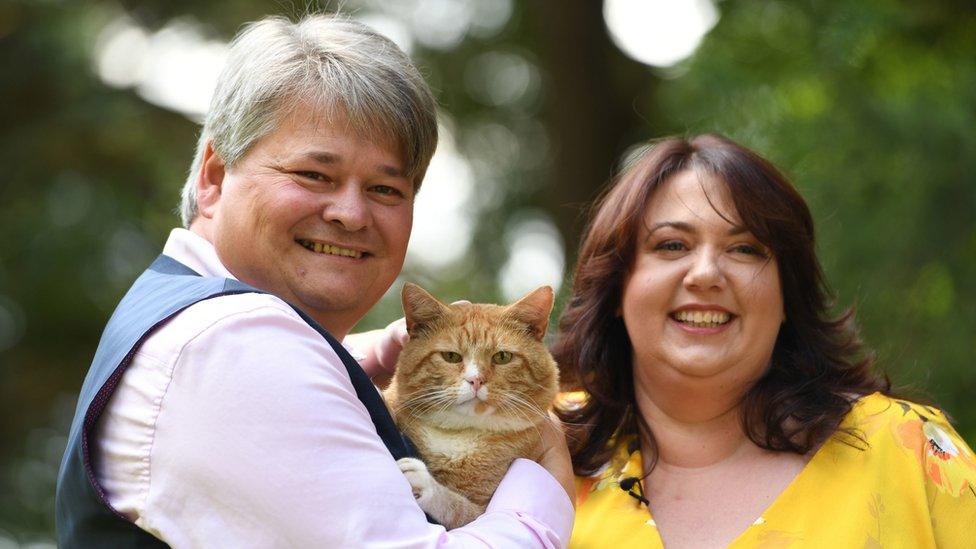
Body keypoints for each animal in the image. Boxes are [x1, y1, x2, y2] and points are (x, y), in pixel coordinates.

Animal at [386, 282, 560, 528]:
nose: (476, 380)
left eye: (502, 357)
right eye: (451, 356)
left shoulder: (481, 510)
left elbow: (460, 509)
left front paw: (426, 485)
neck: (459, 436)